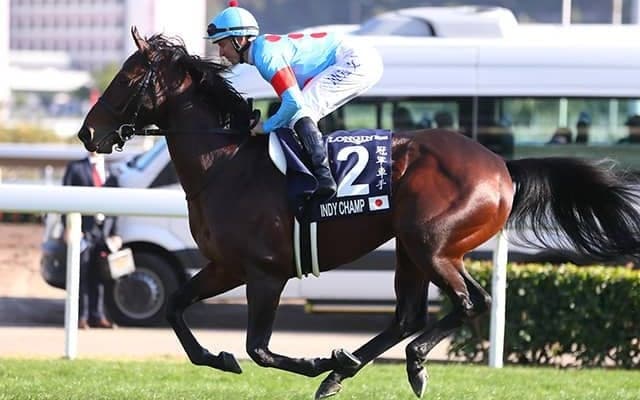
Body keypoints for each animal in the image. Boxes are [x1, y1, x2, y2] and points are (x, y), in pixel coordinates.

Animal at [78, 28, 640, 399]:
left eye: (126, 76)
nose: (87, 133)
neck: (225, 164)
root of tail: (502, 164)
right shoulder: (224, 266)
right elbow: (176, 308)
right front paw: (219, 357)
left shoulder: (265, 272)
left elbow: (260, 348)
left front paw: (309, 359)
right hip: (409, 249)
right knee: (409, 314)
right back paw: (345, 369)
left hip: (433, 245)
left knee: (470, 302)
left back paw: (403, 362)